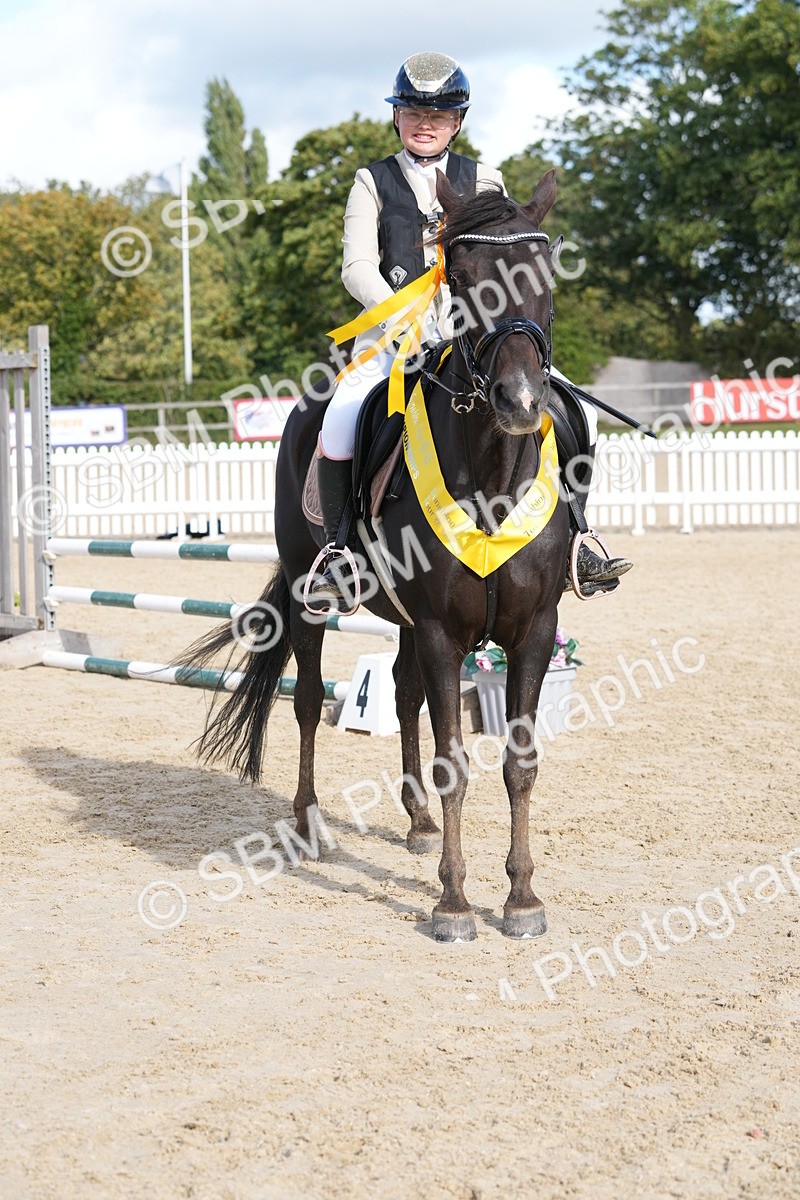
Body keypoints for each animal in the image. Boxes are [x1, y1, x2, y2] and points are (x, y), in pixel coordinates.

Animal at [182, 169, 570, 942]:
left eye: (542, 273)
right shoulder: (444, 633)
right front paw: (453, 904)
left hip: (405, 620)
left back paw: (417, 820)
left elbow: (518, 761)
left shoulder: (532, 631)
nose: (519, 401)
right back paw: (308, 825)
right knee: (306, 700)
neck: (492, 477)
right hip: (313, 599)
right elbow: (456, 760)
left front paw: (520, 897)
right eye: (462, 276)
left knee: (400, 689)